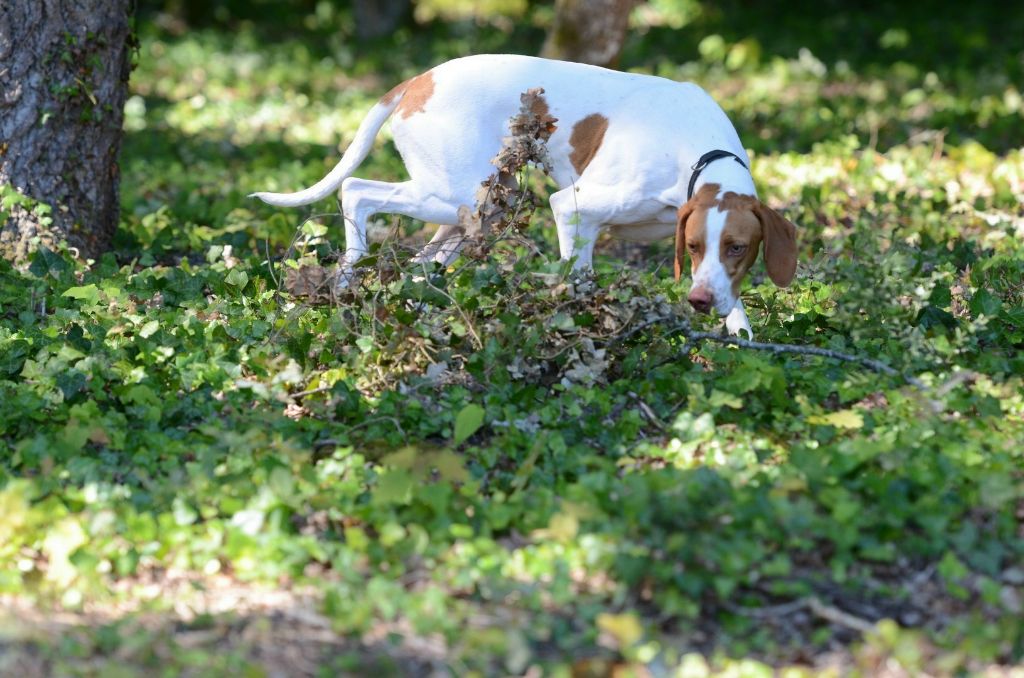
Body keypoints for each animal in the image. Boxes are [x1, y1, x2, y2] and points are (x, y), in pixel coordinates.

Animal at [249, 54, 798, 337]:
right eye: (694, 247)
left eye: (737, 248)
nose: (701, 301)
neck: (697, 153)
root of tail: (417, 81)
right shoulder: (573, 210)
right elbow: (579, 279)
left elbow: (738, 313)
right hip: (451, 195)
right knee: (355, 191)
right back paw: (347, 276)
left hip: (476, 212)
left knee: (419, 266)